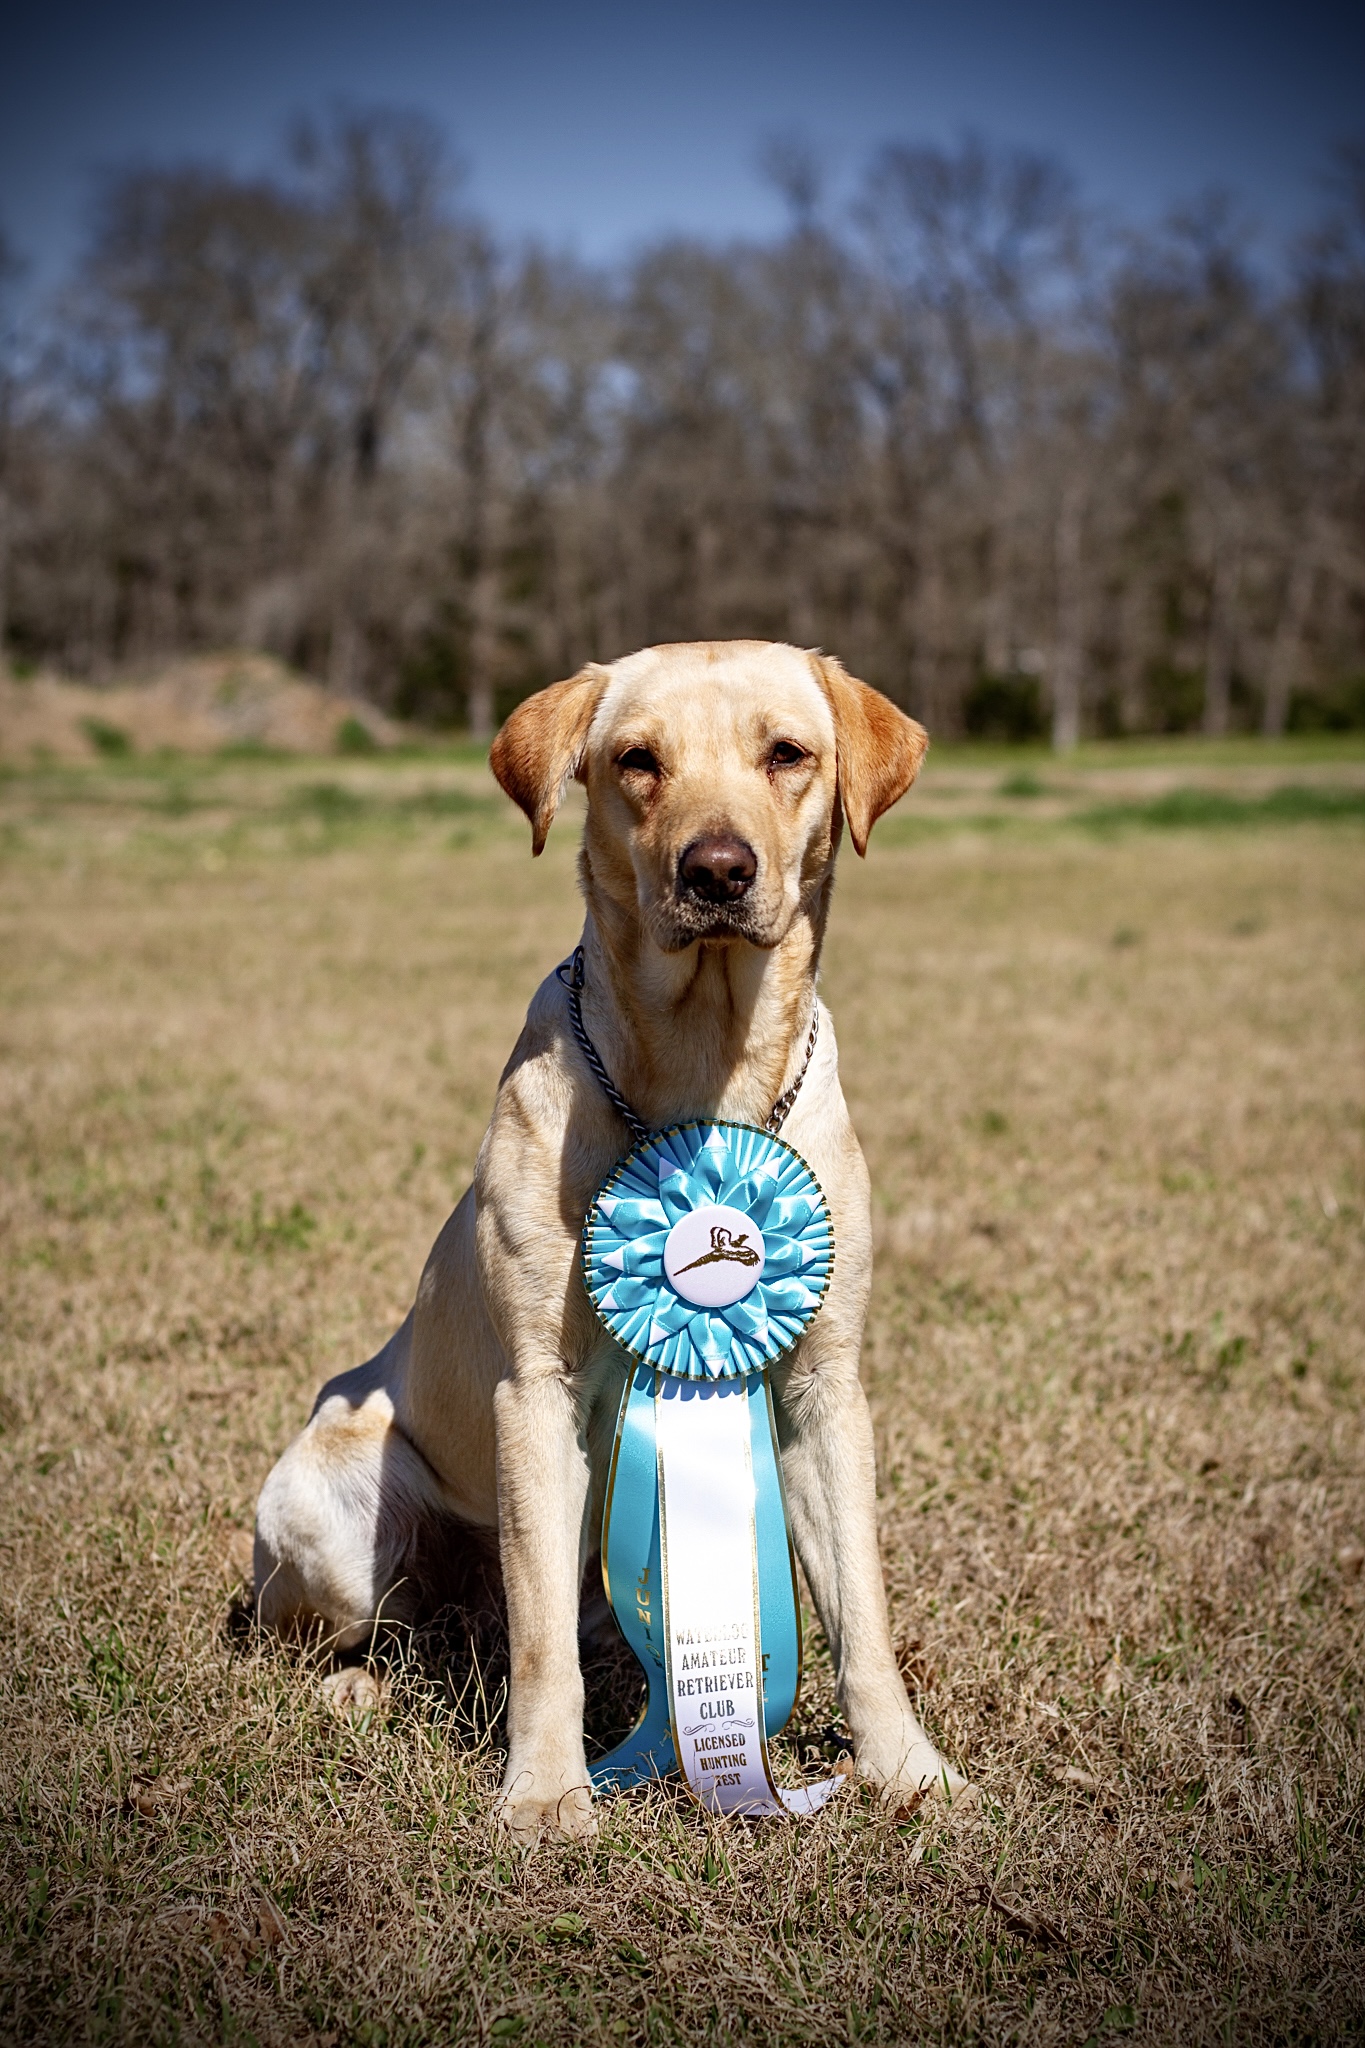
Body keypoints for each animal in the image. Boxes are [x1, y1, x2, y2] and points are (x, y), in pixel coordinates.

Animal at [250, 638, 965, 1843]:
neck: (703, 1073)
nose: (717, 870)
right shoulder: (537, 1390)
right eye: (637, 760)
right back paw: (359, 1685)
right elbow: (541, 1639)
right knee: (373, 1630)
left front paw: (906, 1767)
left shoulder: (823, 1387)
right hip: (330, 1510)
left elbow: (862, 1609)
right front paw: (545, 1792)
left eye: (788, 753)